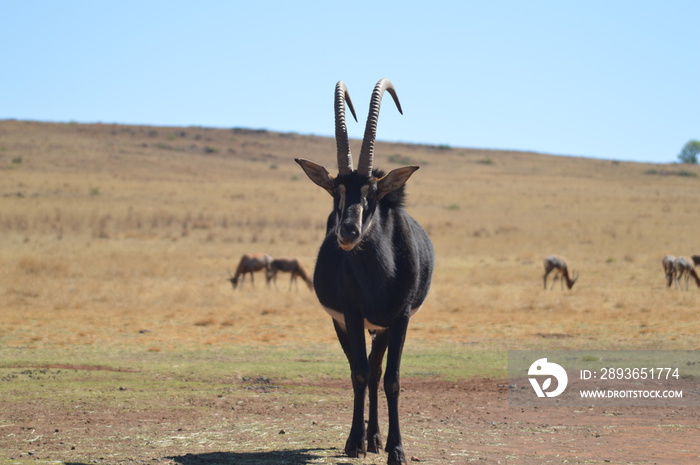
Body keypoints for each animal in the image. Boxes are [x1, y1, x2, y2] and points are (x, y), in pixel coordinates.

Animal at [294, 80, 434, 464]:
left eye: (373, 190)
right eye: (335, 190)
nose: (348, 231)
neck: (379, 278)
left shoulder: (401, 318)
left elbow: (392, 380)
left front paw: (396, 449)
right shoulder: (352, 315)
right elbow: (358, 373)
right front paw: (355, 441)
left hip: (382, 328)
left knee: (377, 372)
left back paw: (377, 438)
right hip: (346, 324)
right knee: (364, 370)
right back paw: (367, 438)